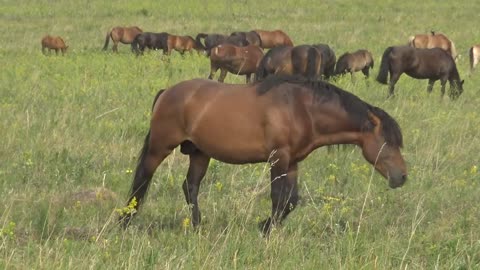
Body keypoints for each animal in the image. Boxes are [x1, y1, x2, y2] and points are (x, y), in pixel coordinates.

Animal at [118, 75, 406, 234]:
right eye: (387, 142)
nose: (402, 176)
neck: (301, 108)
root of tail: (167, 92)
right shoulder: (278, 157)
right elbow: (278, 199)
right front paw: (265, 229)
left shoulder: (292, 162)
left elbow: (291, 201)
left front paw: (265, 226)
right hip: (160, 147)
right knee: (142, 182)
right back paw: (124, 221)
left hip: (200, 153)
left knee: (190, 187)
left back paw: (198, 227)